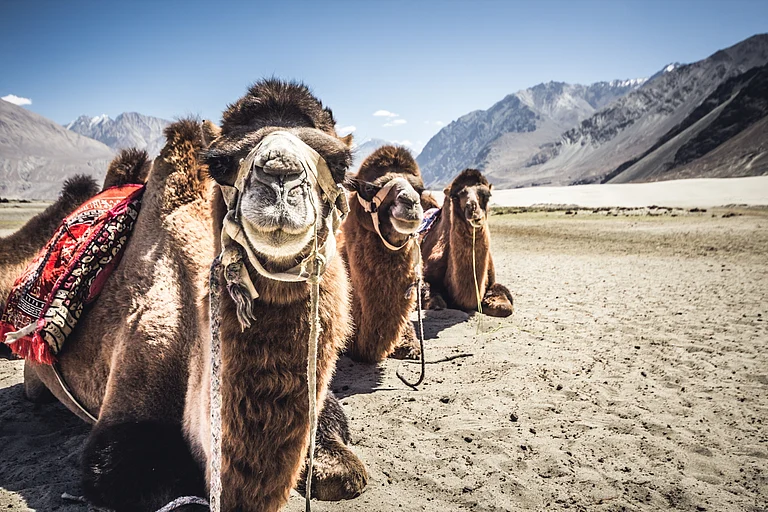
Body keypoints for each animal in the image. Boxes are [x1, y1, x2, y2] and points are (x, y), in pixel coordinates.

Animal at [16, 81, 366, 511]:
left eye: (340, 164)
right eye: (219, 163)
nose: (280, 175)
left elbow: (342, 459)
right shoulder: (127, 415)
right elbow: (141, 474)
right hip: (35, 374)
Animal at [420, 168, 514, 317]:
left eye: (487, 195)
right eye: (455, 197)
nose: (472, 208)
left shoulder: (492, 282)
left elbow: (505, 307)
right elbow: (436, 303)